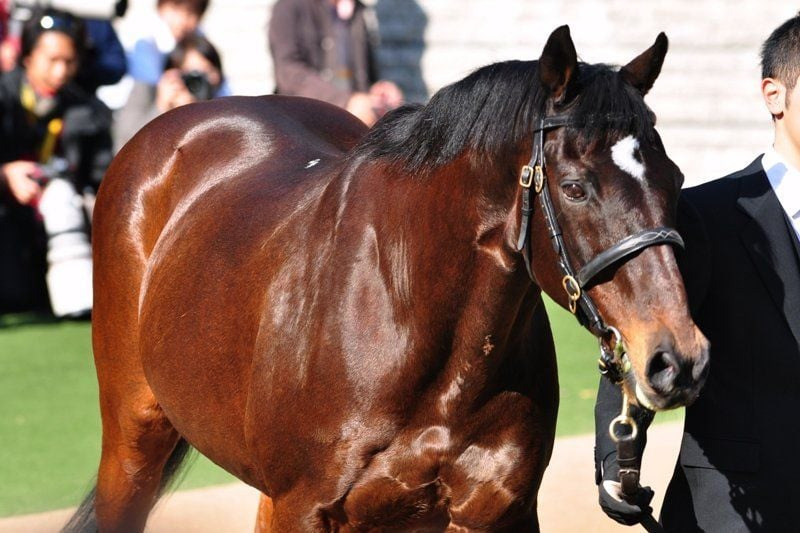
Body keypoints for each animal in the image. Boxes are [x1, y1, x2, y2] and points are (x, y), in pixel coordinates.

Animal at [69, 26, 708, 532]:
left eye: (675, 177)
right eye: (575, 187)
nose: (678, 359)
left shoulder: (497, 513)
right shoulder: (305, 510)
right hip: (132, 442)